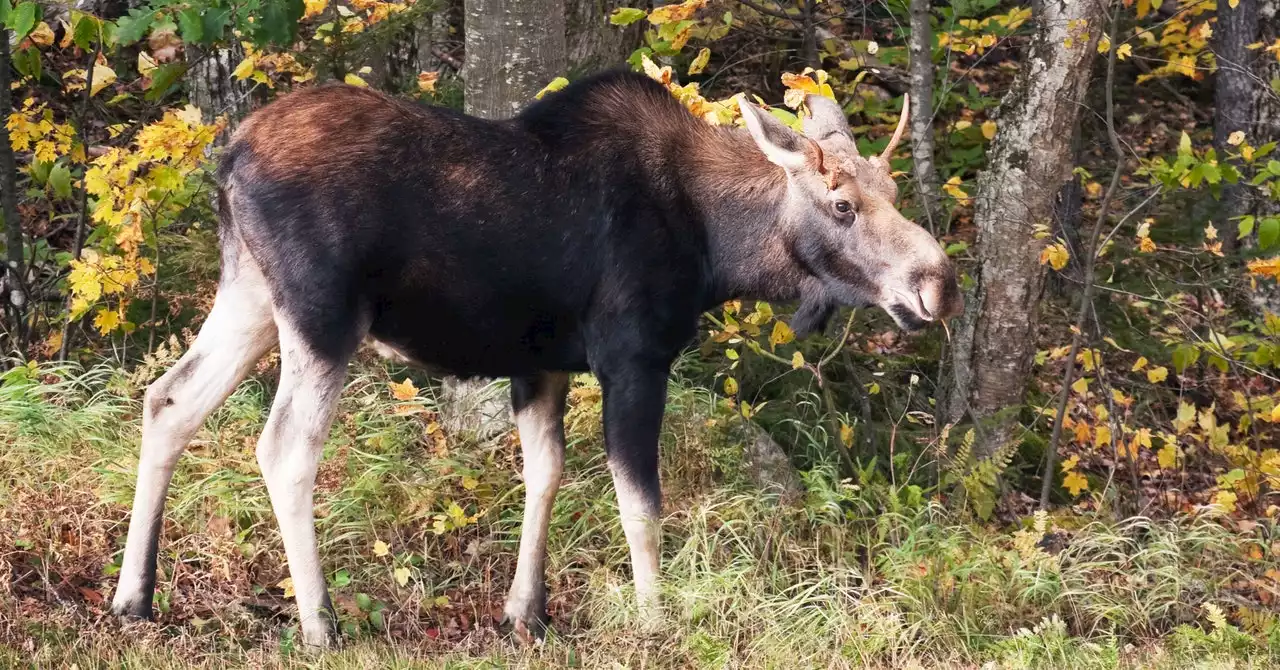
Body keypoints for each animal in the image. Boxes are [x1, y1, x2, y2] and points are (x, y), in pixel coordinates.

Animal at [112, 70, 962, 648]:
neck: (718, 248)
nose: (940, 284)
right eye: (843, 204)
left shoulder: (541, 362)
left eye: (893, 191)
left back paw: (134, 597)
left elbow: (544, 475)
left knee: (167, 400)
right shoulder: (633, 357)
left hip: (251, 297)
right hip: (321, 315)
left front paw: (527, 611)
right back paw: (319, 623)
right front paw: (656, 622)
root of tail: (228, 160)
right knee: (285, 446)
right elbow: (640, 505)